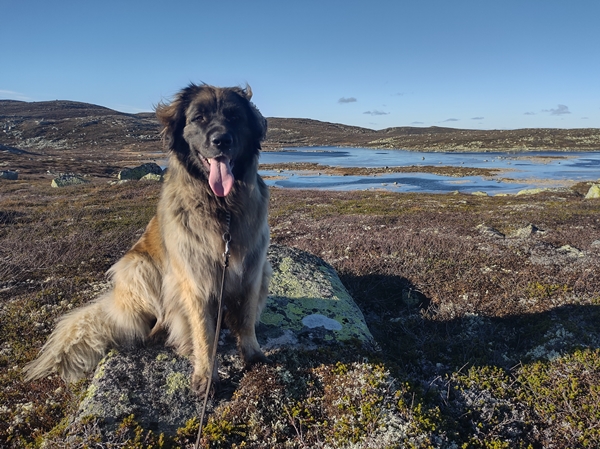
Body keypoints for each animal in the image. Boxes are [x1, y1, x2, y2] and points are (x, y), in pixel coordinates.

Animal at [25, 84, 272, 392]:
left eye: (235, 117)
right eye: (199, 118)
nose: (221, 140)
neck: (223, 209)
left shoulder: (254, 269)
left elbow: (247, 318)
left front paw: (253, 354)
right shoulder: (196, 280)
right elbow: (203, 333)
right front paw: (206, 376)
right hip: (139, 267)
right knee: (155, 321)